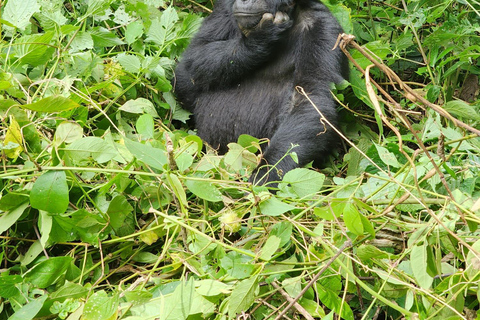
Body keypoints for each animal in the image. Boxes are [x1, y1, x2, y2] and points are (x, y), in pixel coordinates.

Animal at [174, 0, 346, 185]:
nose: (245, 1)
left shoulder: (324, 25)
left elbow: (311, 98)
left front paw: (265, 174)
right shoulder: (225, 7)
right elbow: (190, 63)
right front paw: (258, 41)